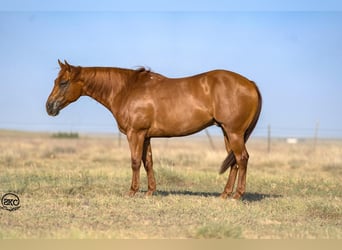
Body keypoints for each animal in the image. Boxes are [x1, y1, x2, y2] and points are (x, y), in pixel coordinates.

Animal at [46, 60, 262, 199]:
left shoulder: (135, 134)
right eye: (55, 81)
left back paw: (238, 195)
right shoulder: (146, 136)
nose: (49, 107)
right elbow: (148, 162)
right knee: (234, 162)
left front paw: (132, 191)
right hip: (228, 133)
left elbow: (135, 162)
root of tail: (250, 83)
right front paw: (150, 191)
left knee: (242, 159)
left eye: (63, 82)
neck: (127, 90)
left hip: (234, 133)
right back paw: (225, 194)